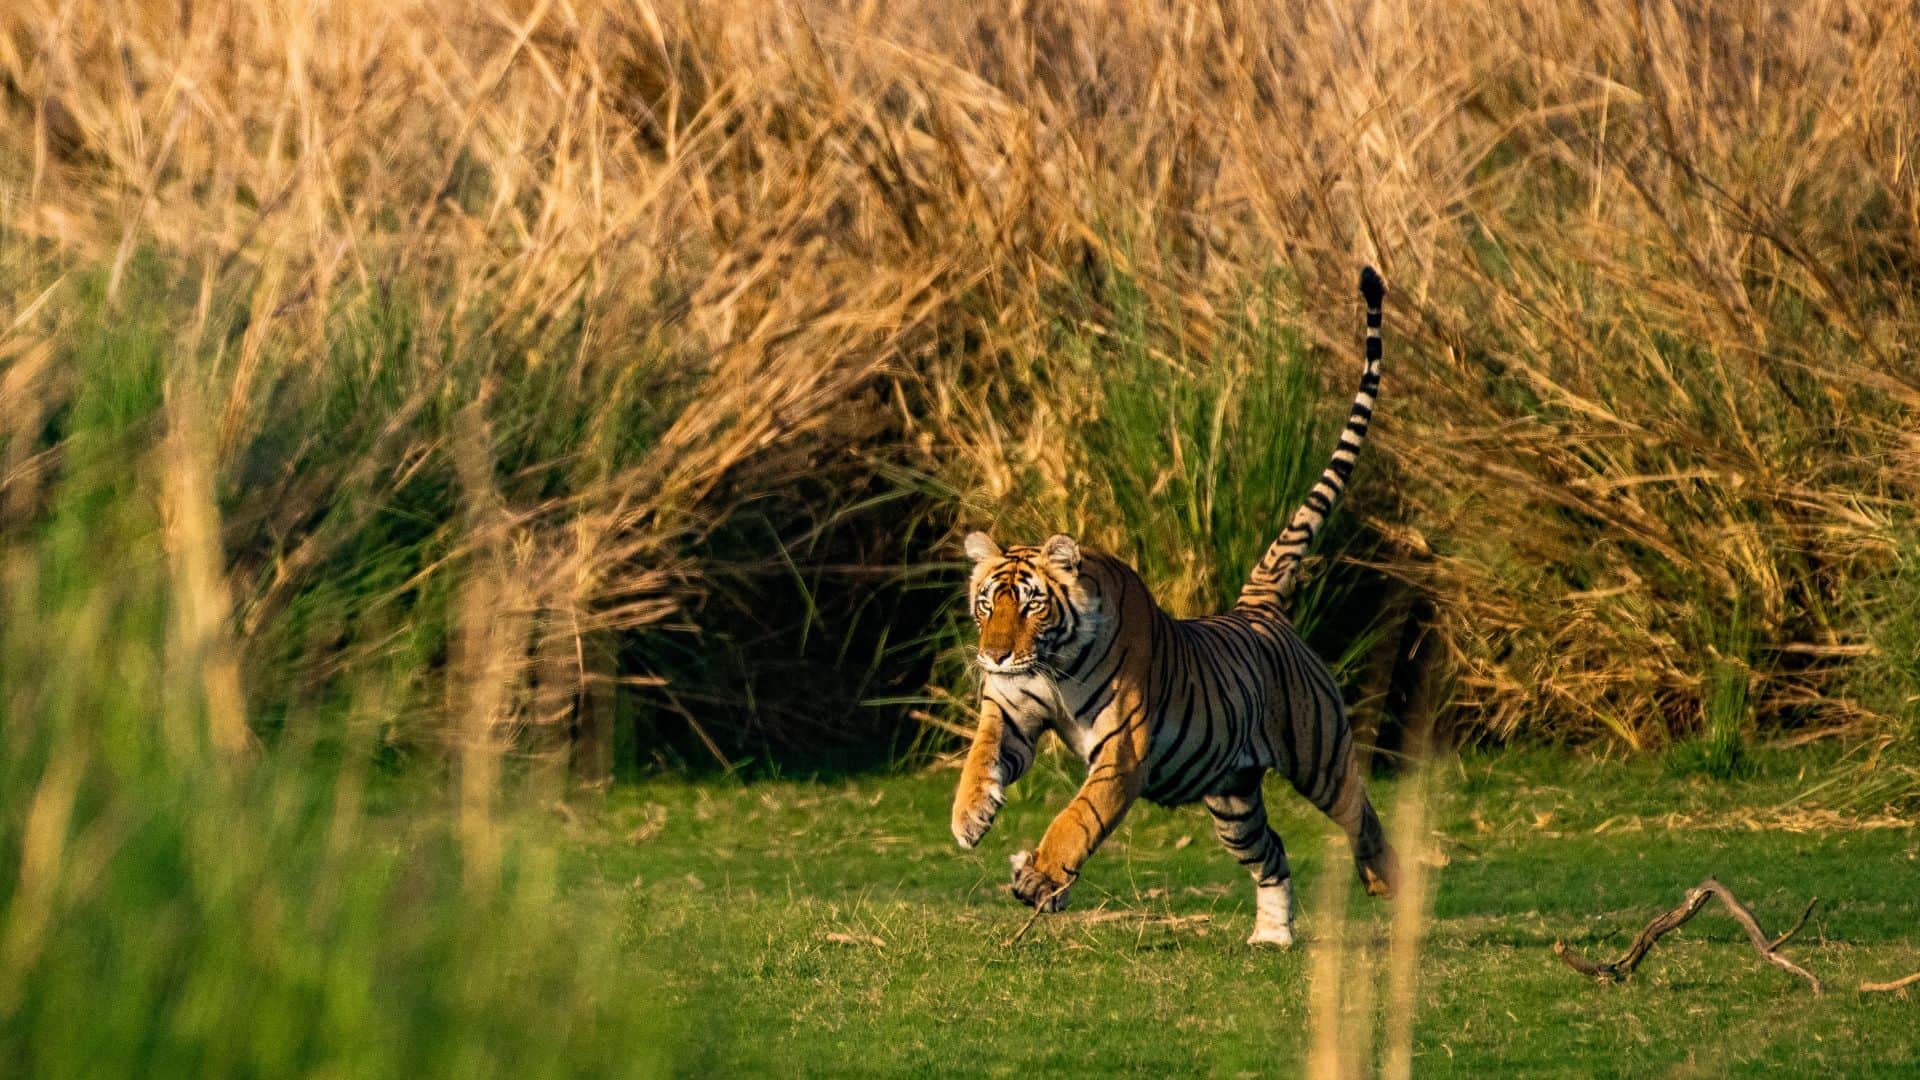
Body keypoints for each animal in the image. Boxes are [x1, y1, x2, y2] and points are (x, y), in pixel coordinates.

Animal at [950, 266, 1395, 946]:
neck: (1052, 665)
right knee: (1273, 852)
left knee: (1360, 811)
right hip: (1232, 801)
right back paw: (1271, 937)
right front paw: (970, 815)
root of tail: (1257, 608)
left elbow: (1077, 819)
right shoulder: (1012, 709)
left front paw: (1040, 876)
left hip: (1319, 753)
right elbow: (982, 755)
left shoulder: (1121, 752)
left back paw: (1385, 880)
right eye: (985, 606)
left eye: (1029, 607)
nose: (993, 656)